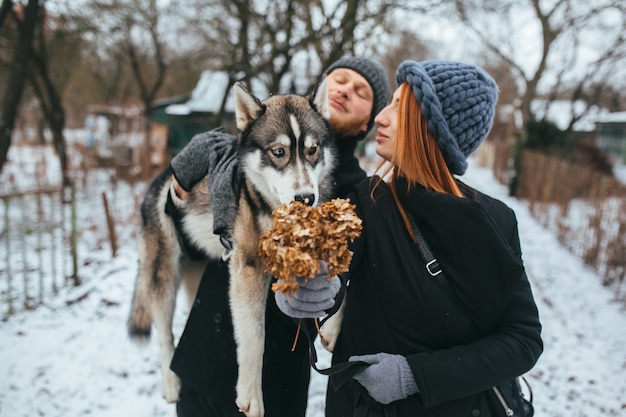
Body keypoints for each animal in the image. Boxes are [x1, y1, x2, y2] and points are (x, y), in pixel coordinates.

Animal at [123, 78, 334, 416]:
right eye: (278, 152)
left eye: (312, 150)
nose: (306, 198)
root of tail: (161, 176)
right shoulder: (249, 267)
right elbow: (254, 336)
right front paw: (251, 394)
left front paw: (333, 327)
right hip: (163, 273)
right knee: (165, 333)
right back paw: (170, 382)